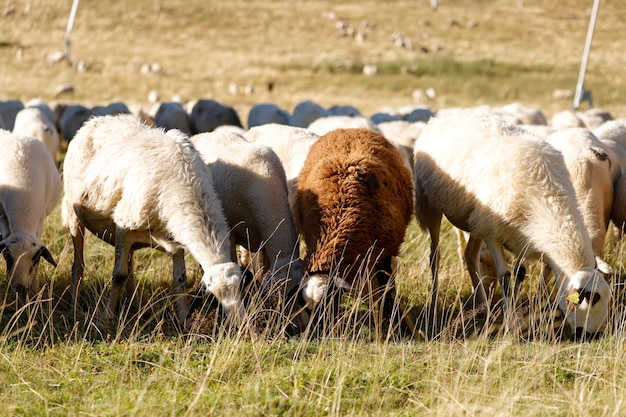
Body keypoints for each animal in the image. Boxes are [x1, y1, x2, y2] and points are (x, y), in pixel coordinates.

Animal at [60, 114, 241, 324]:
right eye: (214, 295)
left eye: (240, 288)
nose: (239, 324)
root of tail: (96, 119)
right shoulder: (123, 225)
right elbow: (118, 275)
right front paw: (107, 317)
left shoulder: (175, 236)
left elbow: (180, 279)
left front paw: (184, 320)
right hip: (74, 214)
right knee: (78, 266)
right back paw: (75, 306)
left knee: (129, 266)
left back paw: (131, 303)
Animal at [294, 127, 414, 332]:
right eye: (308, 310)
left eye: (330, 303)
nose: (317, 334)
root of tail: (348, 129)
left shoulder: (386, 251)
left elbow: (387, 290)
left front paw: (393, 321)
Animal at [412, 109, 608, 336]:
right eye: (589, 302)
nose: (590, 335)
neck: (550, 203)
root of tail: (445, 114)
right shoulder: (493, 233)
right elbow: (505, 278)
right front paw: (511, 326)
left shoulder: (520, 236)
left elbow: (519, 274)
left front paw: (511, 317)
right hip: (431, 206)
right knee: (434, 257)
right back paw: (435, 305)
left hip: (476, 221)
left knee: (470, 257)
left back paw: (485, 309)